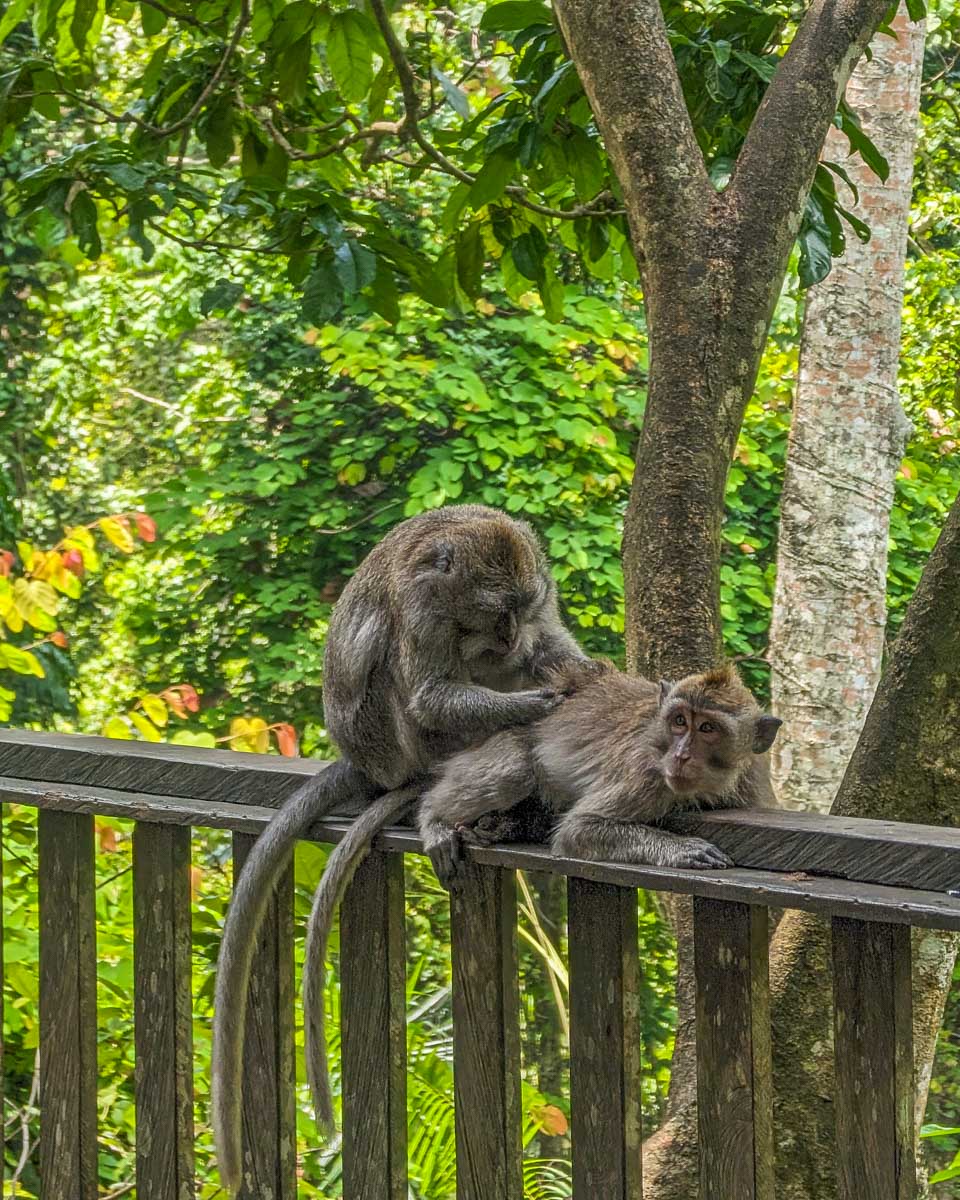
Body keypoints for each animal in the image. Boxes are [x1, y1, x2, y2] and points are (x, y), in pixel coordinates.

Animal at [211, 504, 587, 1191]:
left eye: (520, 608)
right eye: (493, 611)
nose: (508, 638)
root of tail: (367, 765)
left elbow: (550, 645)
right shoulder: (424, 608)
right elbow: (429, 692)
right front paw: (539, 701)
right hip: (393, 742)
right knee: (394, 672)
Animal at [417, 660, 782, 883]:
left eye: (707, 728)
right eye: (679, 721)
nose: (680, 756)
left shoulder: (752, 782)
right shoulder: (646, 774)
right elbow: (579, 828)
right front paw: (681, 849)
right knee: (515, 771)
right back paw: (434, 819)